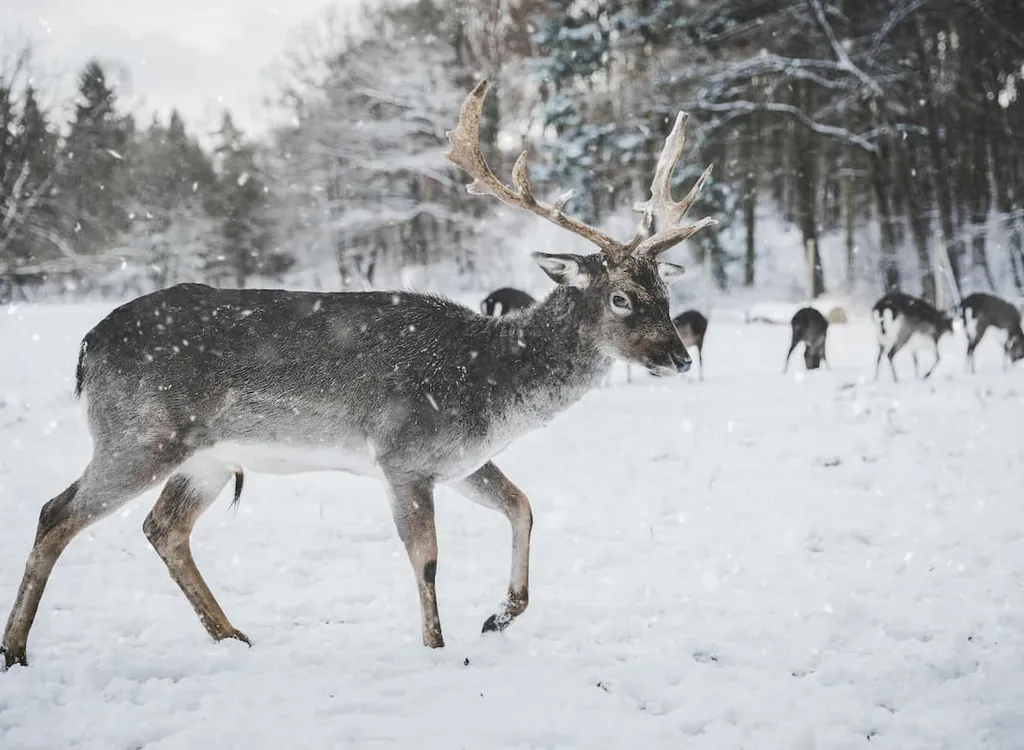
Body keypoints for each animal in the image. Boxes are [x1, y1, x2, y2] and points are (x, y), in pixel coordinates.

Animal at [0, 80, 716, 668]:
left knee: (162, 528)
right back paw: (17, 650)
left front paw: (498, 616)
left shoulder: (459, 460)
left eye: (664, 290)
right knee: (56, 512)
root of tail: (88, 346)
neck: (491, 387)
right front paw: (437, 648)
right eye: (620, 297)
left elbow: (523, 505)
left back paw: (232, 636)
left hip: (205, 457)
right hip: (139, 433)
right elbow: (427, 559)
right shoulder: (403, 454)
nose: (679, 357)